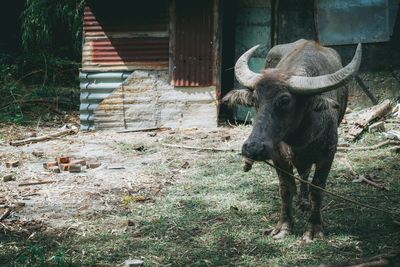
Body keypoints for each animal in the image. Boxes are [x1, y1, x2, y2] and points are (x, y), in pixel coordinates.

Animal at [223, 39, 360, 243]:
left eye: (285, 100)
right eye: (255, 99)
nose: (253, 148)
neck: (298, 139)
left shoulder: (328, 154)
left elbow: (317, 189)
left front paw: (314, 228)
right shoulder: (278, 156)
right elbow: (286, 189)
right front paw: (284, 227)